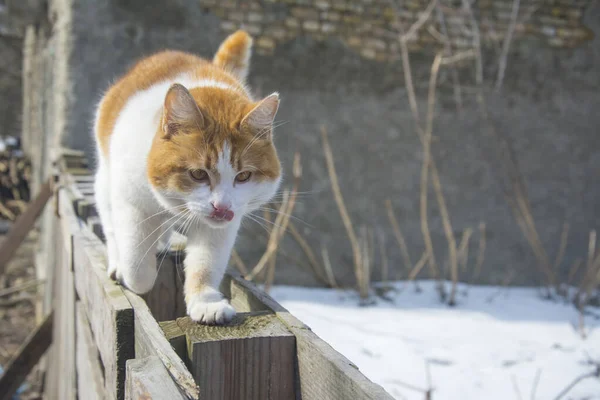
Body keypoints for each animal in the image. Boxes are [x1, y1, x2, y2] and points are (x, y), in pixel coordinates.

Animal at [92, 31, 282, 324]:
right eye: (197, 174)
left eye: (244, 176)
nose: (222, 208)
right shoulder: (131, 203)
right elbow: (137, 266)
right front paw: (130, 272)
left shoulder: (220, 226)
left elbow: (205, 264)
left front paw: (205, 303)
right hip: (104, 181)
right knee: (112, 226)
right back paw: (118, 261)